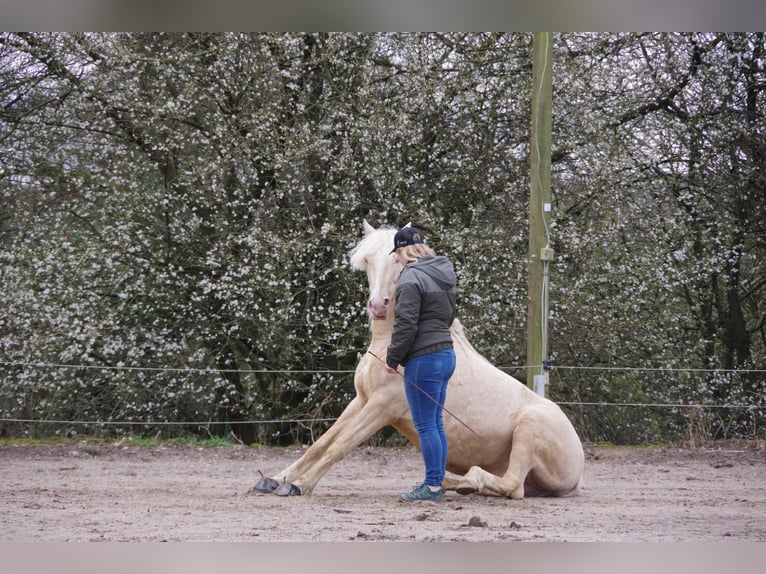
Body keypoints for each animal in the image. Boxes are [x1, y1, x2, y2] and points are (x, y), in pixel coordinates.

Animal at [255, 220, 584, 500]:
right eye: (369, 261)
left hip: (529, 429)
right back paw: (451, 483)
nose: (378, 305)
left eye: (397, 261)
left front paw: (298, 485)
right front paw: (275, 479)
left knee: (513, 486)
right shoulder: (361, 400)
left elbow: (339, 447)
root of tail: (578, 468)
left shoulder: (381, 408)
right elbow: (321, 443)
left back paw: (465, 481)